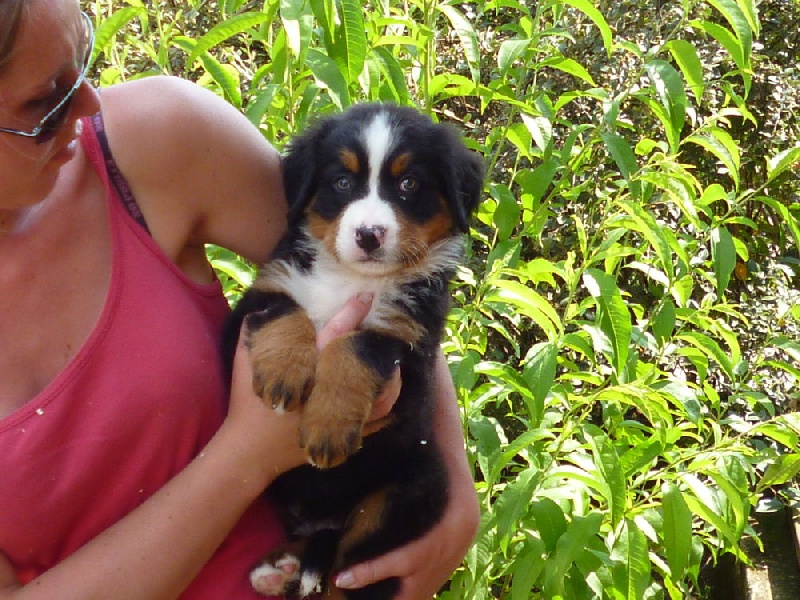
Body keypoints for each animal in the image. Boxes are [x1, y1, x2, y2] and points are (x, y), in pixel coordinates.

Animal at [222, 103, 484, 599]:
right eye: (342, 182)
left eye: (409, 184)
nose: (369, 234)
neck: (351, 280)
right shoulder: (261, 296)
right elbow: (288, 315)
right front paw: (284, 375)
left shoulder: (406, 343)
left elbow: (354, 346)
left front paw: (327, 427)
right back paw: (281, 568)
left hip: (407, 490)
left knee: (348, 571)